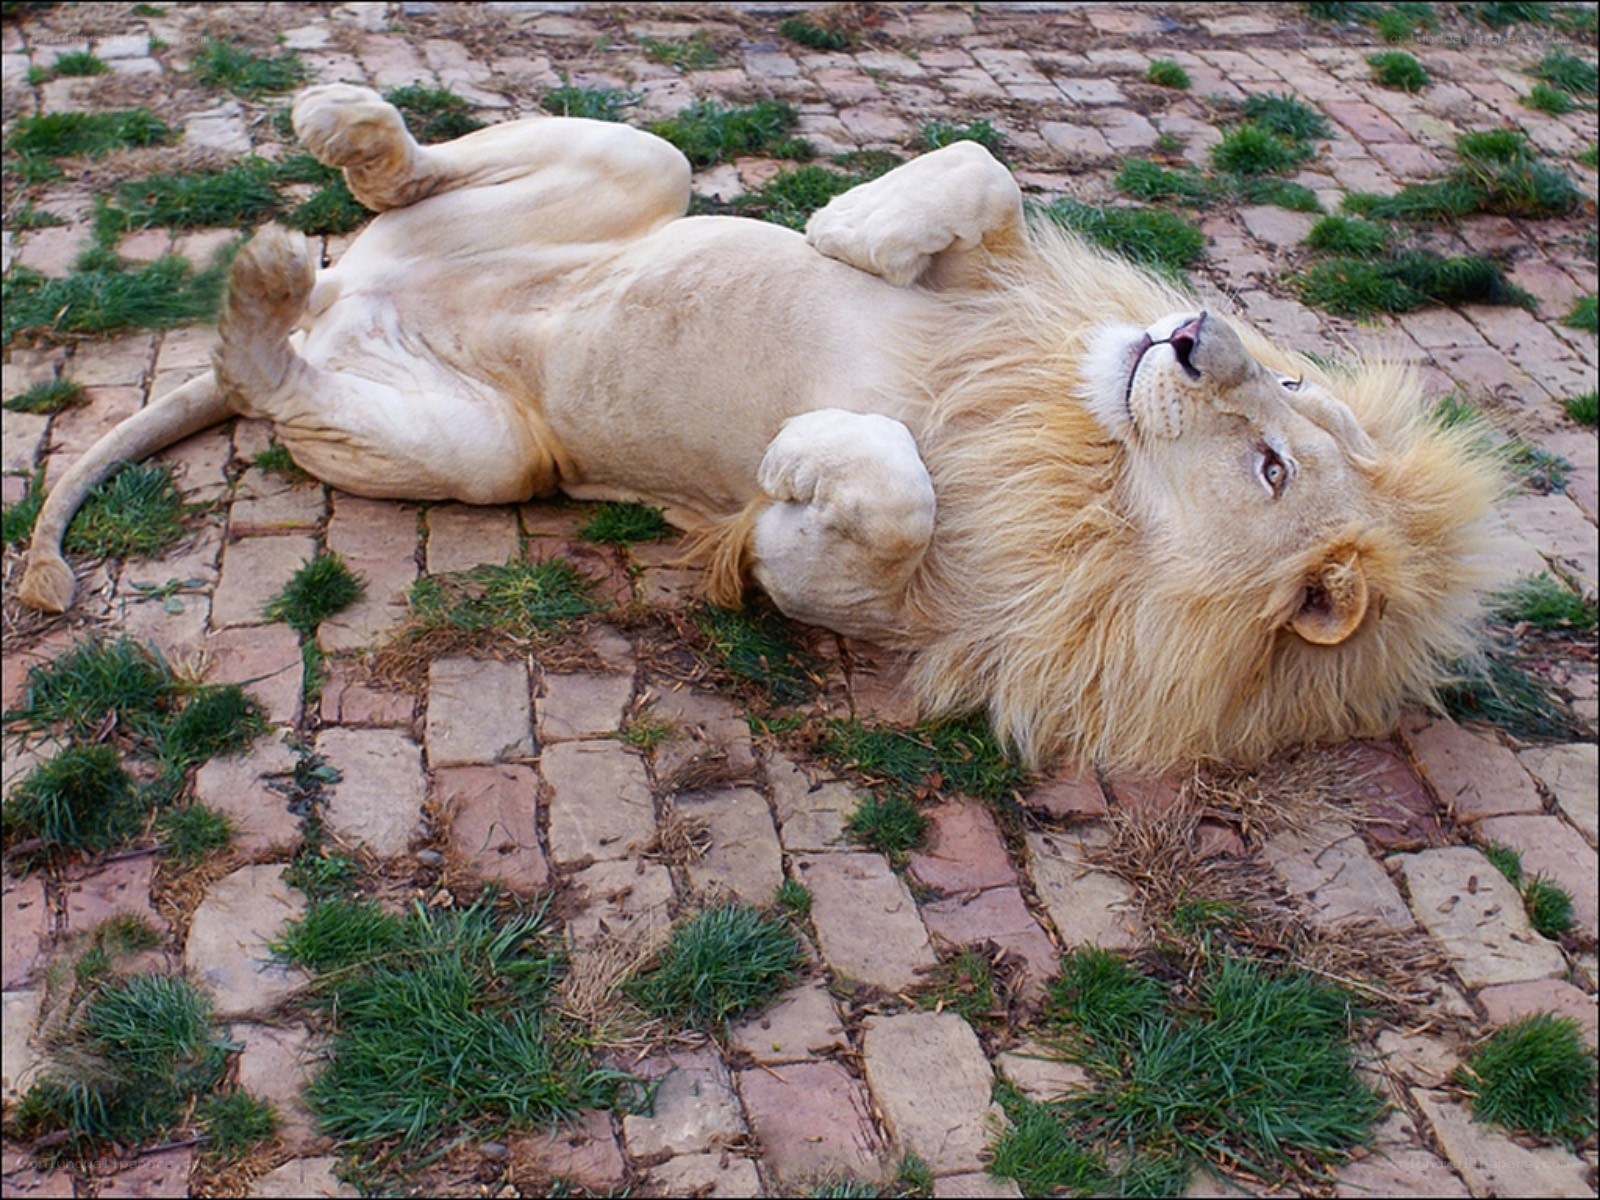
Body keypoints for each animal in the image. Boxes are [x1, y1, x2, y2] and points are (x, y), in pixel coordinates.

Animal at [17, 85, 1500, 772]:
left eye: (1270, 463)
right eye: (1293, 402)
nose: (1194, 333)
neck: (1083, 461)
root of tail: (347, 298)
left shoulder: (889, 610)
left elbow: (882, 499)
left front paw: (799, 459)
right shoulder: (1000, 287)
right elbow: (980, 167)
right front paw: (848, 225)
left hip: (489, 456)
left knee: (269, 373)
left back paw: (261, 285)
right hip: (637, 171)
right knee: (474, 172)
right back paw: (345, 123)